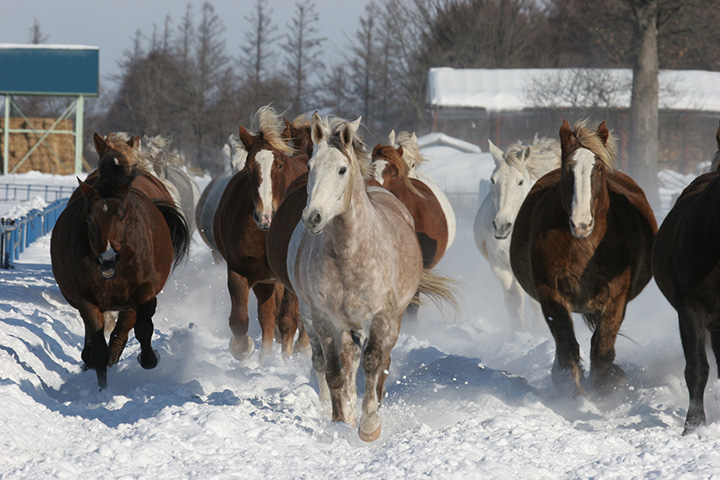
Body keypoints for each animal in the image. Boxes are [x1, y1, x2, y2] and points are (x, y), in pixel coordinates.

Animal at [211, 106, 306, 360]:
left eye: (280, 165)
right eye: (248, 167)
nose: (265, 215)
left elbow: (288, 319)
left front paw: (286, 359)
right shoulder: (239, 271)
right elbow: (240, 321)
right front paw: (245, 349)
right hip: (265, 280)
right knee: (267, 315)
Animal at [286, 113, 456, 442]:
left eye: (342, 169)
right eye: (310, 166)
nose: (312, 217)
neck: (349, 253)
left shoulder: (380, 317)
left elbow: (373, 362)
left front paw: (369, 425)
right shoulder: (326, 319)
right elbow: (335, 370)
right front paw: (340, 421)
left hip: (392, 320)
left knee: (380, 363)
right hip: (318, 318)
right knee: (337, 360)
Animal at [472, 135, 564, 330]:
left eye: (520, 182)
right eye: (493, 180)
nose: (501, 225)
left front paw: (539, 328)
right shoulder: (499, 264)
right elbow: (514, 301)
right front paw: (519, 329)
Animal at [510, 121, 656, 398]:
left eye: (598, 168)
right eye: (567, 169)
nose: (581, 223)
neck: (585, 247)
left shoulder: (615, 298)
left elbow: (602, 350)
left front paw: (604, 392)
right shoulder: (551, 294)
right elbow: (567, 346)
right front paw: (575, 396)